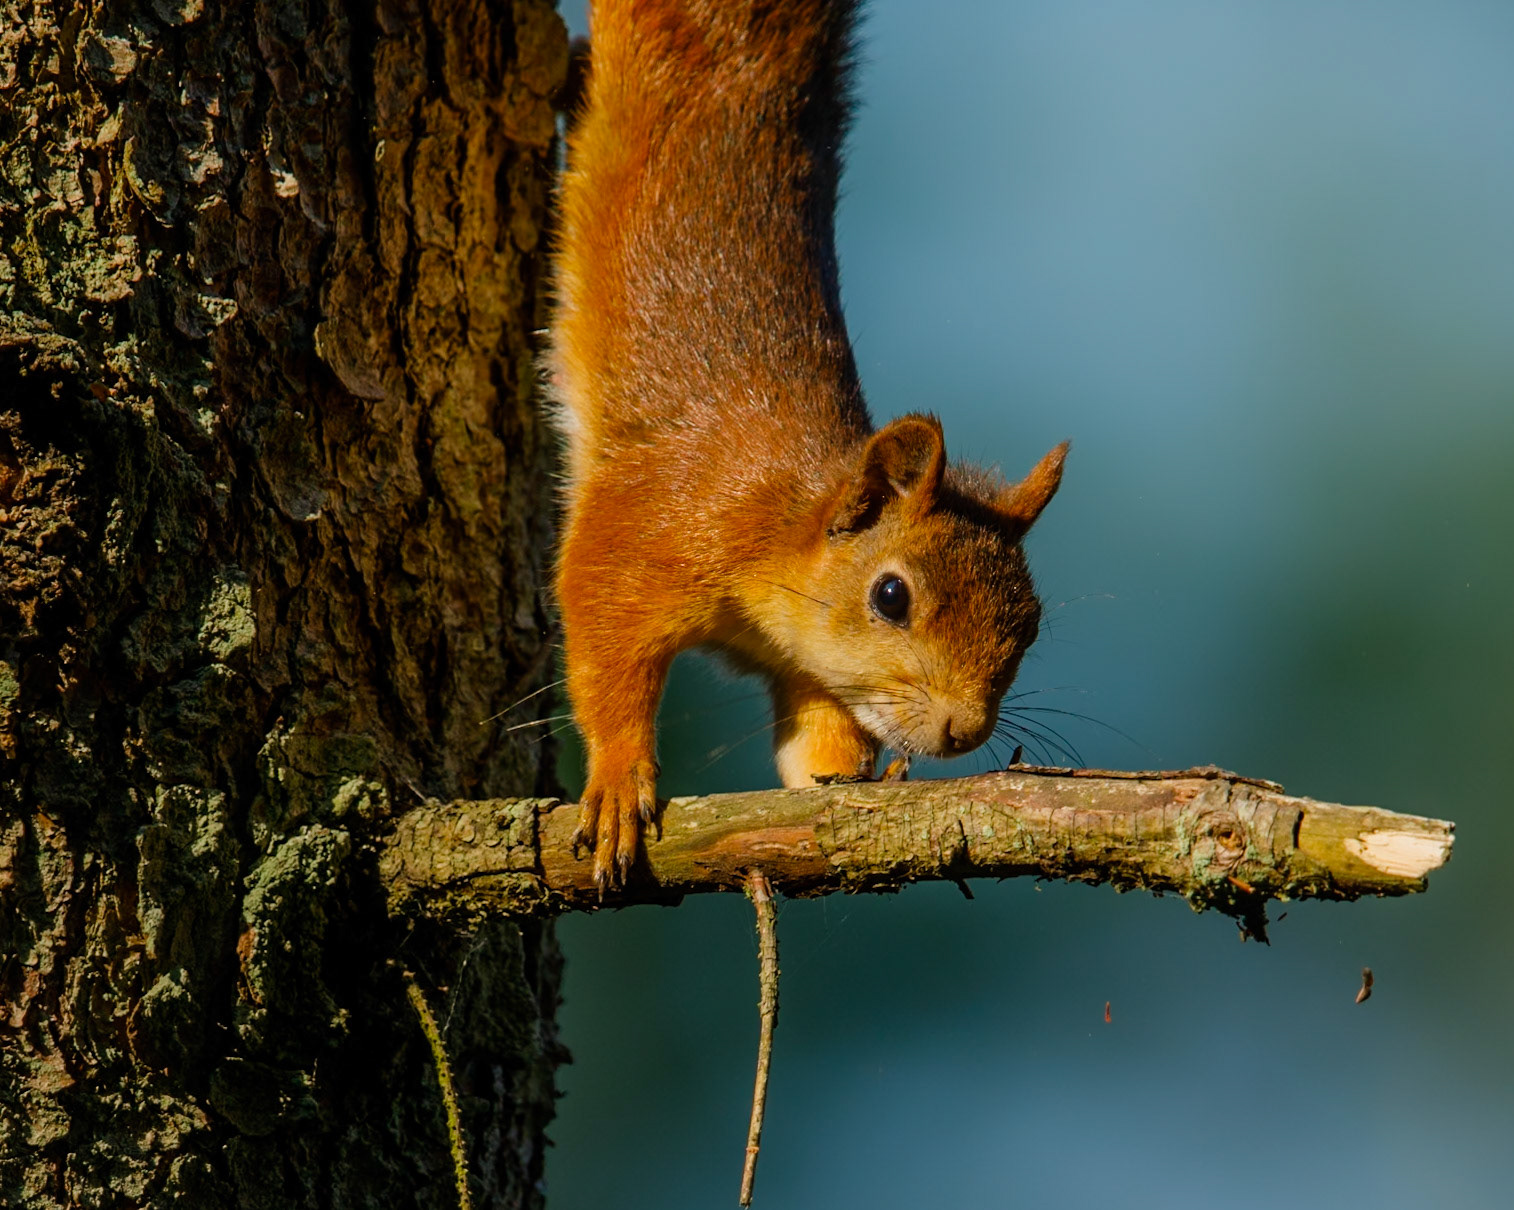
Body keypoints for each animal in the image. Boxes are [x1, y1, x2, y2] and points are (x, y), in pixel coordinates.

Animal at [546, 0, 1067, 892]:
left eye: (1030, 625)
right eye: (890, 596)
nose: (964, 730)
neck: (775, 534)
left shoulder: (806, 667)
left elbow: (813, 739)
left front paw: (843, 780)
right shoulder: (653, 524)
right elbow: (599, 630)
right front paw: (616, 779)